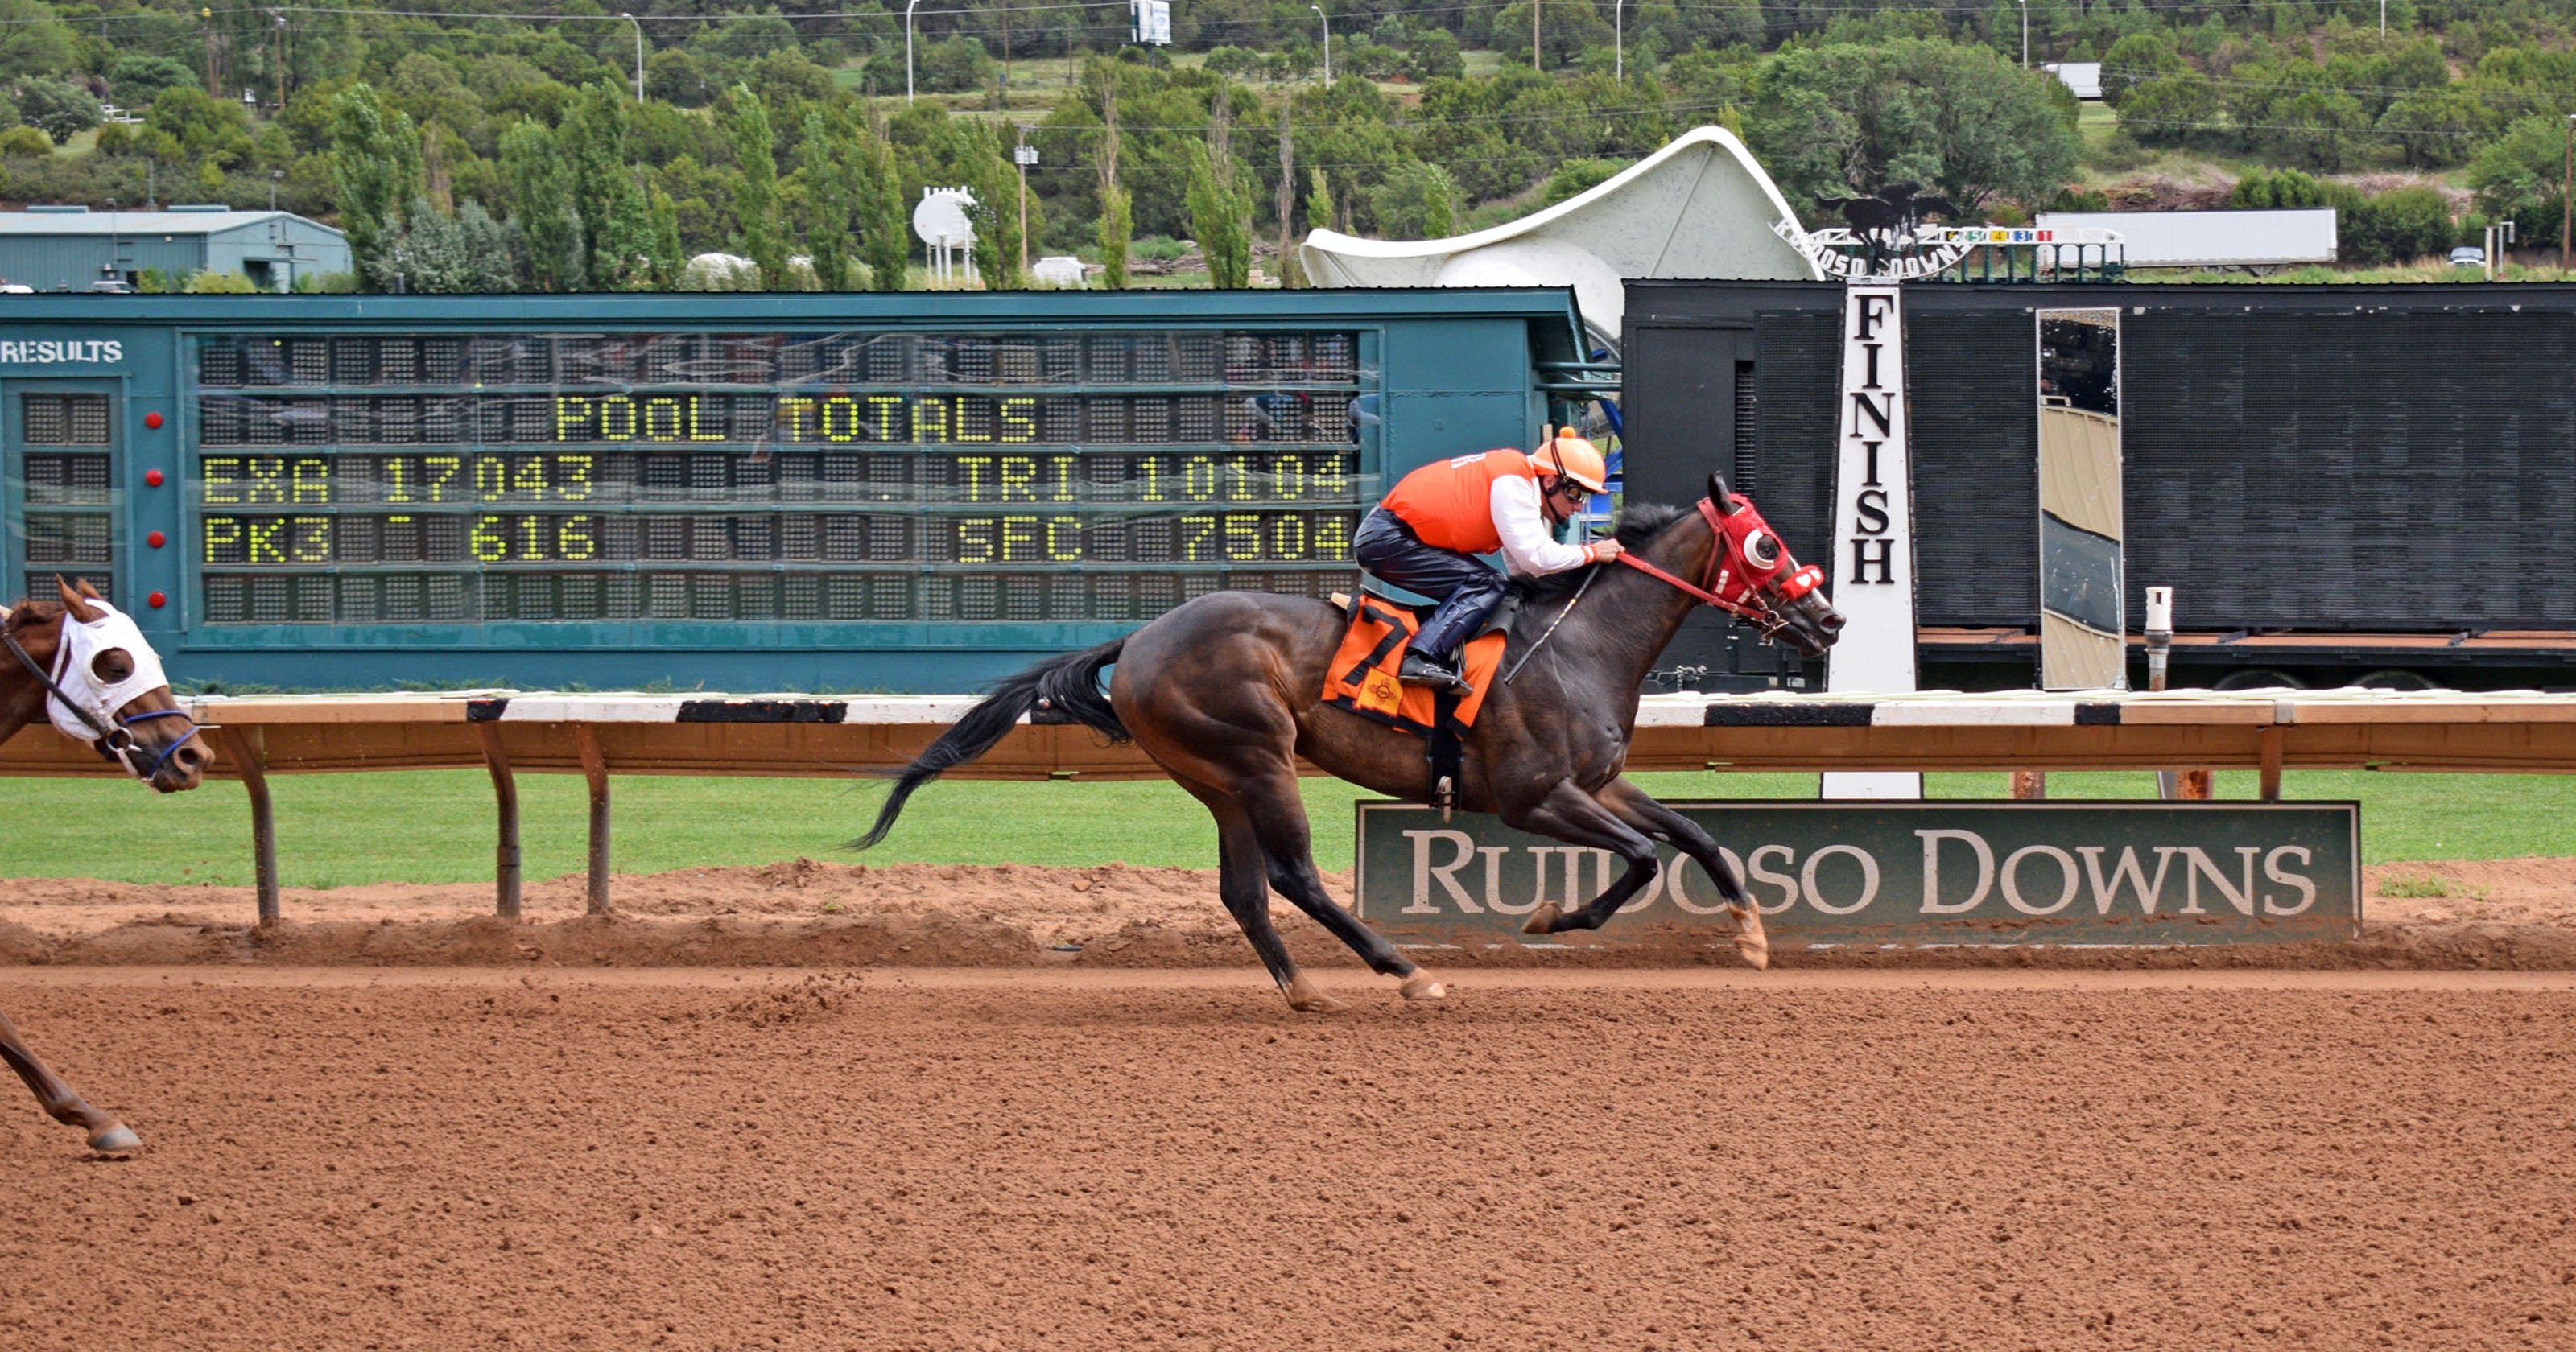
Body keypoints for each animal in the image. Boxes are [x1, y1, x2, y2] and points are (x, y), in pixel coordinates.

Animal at [860, 476, 1834, 1009]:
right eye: (1765, 544)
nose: (1829, 617)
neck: (1581, 644)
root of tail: (1135, 641)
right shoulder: (1534, 798)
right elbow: (1639, 858)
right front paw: (1551, 917)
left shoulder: (1597, 782)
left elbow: (1693, 834)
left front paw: (1751, 935)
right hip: (1257, 758)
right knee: (1293, 879)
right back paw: (1404, 971)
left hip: (1217, 778)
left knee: (1244, 891)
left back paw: (1303, 989)